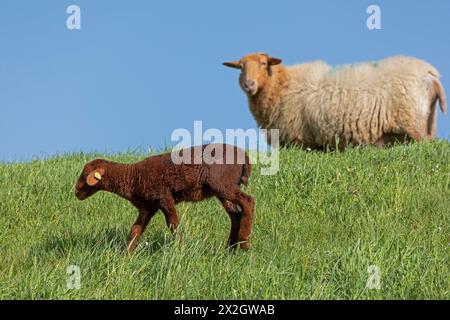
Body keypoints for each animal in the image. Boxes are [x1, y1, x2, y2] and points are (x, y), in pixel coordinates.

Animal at [75, 144, 255, 252]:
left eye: (84, 176)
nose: (76, 193)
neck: (132, 176)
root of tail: (244, 157)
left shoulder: (164, 198)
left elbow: (173, 224)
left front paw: (181, 248)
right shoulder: (147, 207)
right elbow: (135, 230)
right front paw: (126, 254)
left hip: (223, 184)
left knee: (248, 201)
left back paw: (244, 243)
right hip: (223, 189)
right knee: (235, 214)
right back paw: (231, 248)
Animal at [223, 52, 444, 149]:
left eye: (263, 63)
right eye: (241, 67)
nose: (249, 84)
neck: (280, 85)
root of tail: (431, 73)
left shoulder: (297, 140)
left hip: (414, 121)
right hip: (428, 121)